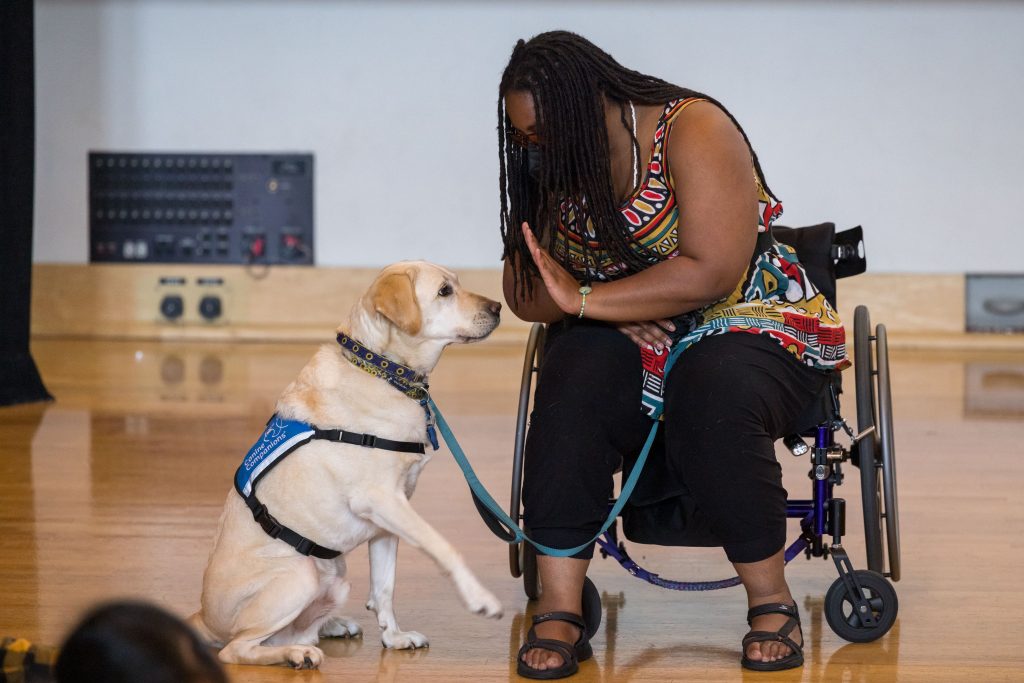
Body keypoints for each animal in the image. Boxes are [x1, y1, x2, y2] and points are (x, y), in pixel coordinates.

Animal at [190, 262, 505, 667]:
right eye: (444, 291)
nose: (499, 307)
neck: (382, 371)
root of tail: (202, 616)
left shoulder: (387, 522)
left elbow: (384, 587)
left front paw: (394, 637)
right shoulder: (382, 501)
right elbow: (444, 546)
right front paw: (480, 598)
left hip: (336, 576)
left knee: (291, 632)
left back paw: (326, 629)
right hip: (301, 575)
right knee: (238, 648)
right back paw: (297, 654)